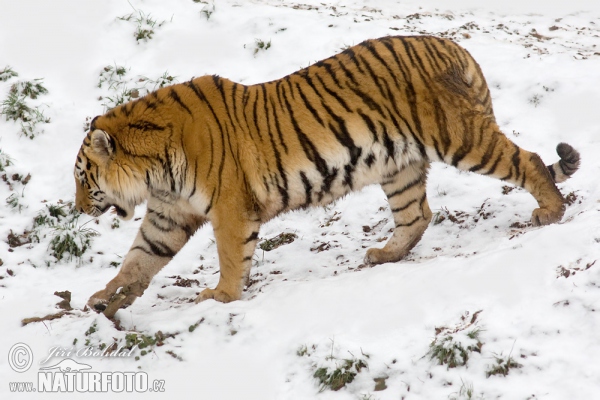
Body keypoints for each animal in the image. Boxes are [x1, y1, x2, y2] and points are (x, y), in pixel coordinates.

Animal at [72, 35, 580, 316]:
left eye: (82, 177)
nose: (76, 209)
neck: (155, 170)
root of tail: (456, 46)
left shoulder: (231, 209)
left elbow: (231, 258)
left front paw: (220, 297)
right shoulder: (168, 214)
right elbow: (139, 258)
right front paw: (106, 297)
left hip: (461, 137)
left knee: (529, 160)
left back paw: (550, 212)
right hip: (399, 166)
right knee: (416, 215)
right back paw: (384, 255)